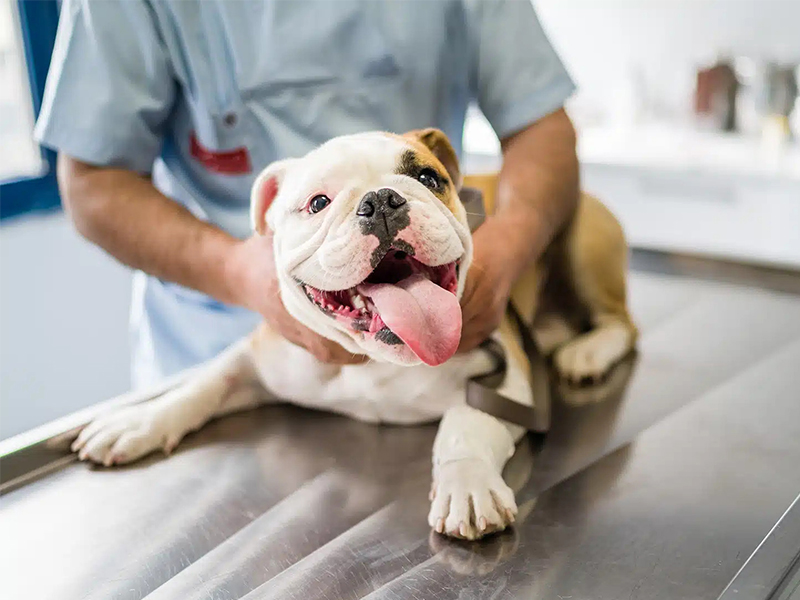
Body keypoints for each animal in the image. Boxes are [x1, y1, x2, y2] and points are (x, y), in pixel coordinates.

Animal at [70, 129, 636, 540]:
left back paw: (588, 353)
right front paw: (139, 420)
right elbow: (203, 384)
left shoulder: (507, 373)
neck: (376, 360)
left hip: (583, 238)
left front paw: (466, 483)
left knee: (622, 323)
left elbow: (465, 424)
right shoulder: (260, 357)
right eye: (318, 203)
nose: (382, 200)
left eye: (427, 178)